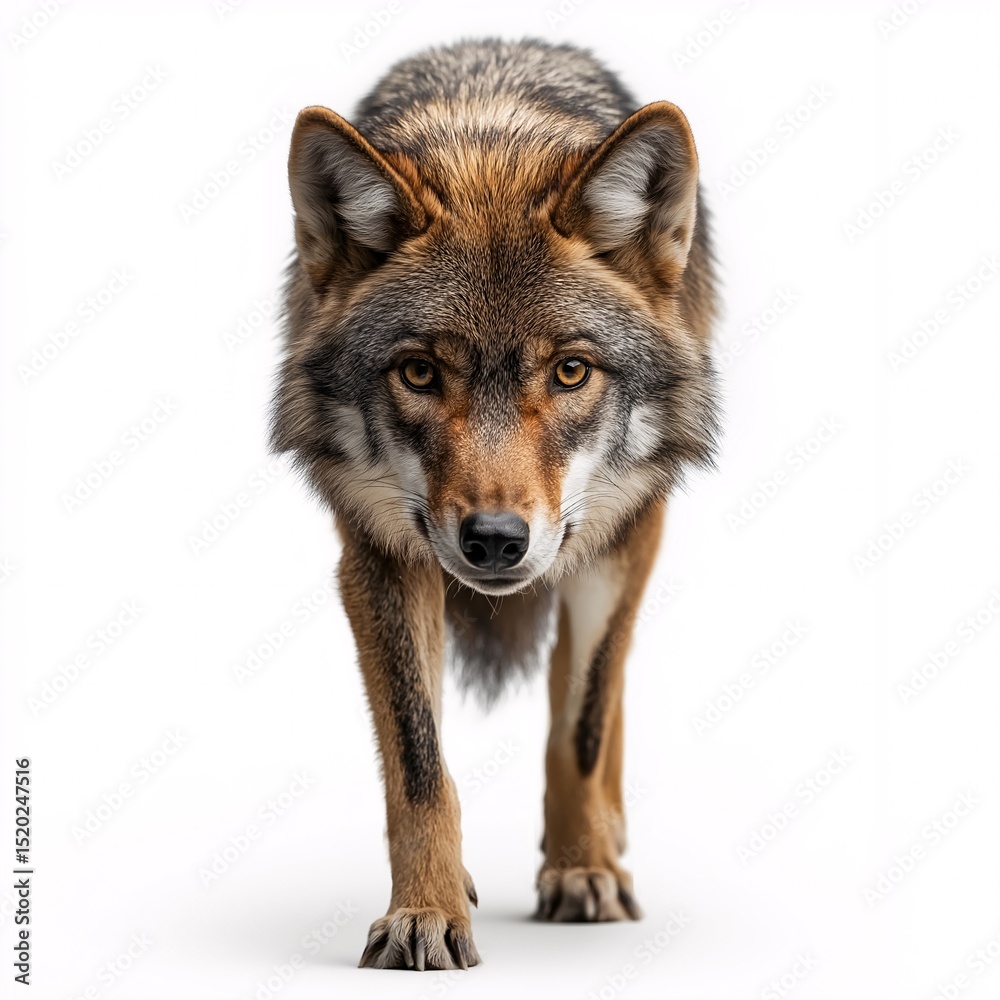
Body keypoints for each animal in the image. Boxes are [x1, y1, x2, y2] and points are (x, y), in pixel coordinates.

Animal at [270, 37, 720, 970]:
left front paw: (583, 868)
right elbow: (418, 763)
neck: (491, 139)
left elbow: (583, 724)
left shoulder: (623, 538)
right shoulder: (378, 556)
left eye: (571, 371)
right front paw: (426, 912)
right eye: (418, 372)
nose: (495, 541)